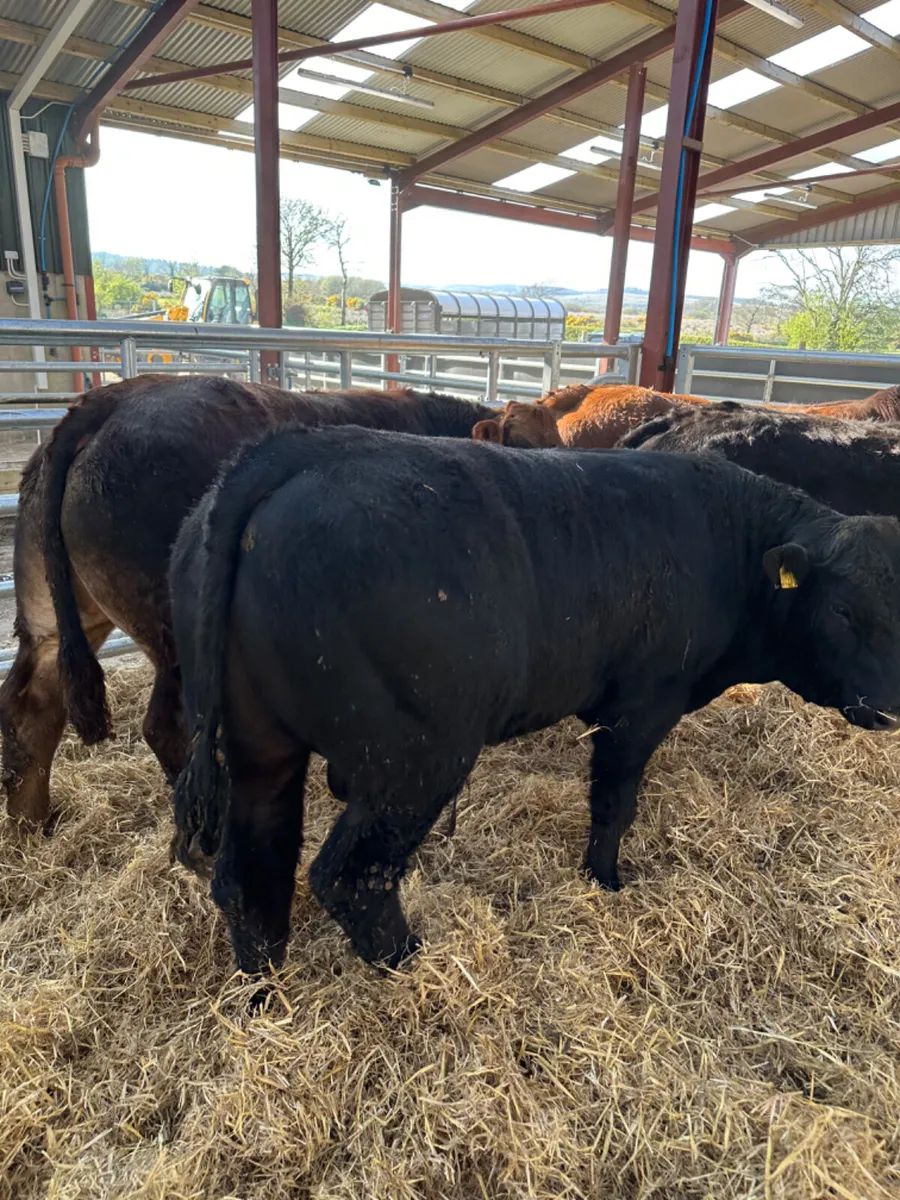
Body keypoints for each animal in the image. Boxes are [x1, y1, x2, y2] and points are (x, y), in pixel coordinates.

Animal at [0, 375, 497, 829]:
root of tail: (107, 402)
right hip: (179, 628)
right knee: (167, 727)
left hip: (50, 617)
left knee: (30, 706)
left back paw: (31, 826)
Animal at [170, 425, 900, 977]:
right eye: (840, 610)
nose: (889, 708)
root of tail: (298, 448)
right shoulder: (642, 704)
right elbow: (613, 803)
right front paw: (605, 881)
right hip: (414, 759)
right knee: (350, 876)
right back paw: (412, 961)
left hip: (261, 750)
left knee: (249, 874)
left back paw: (265, 990)